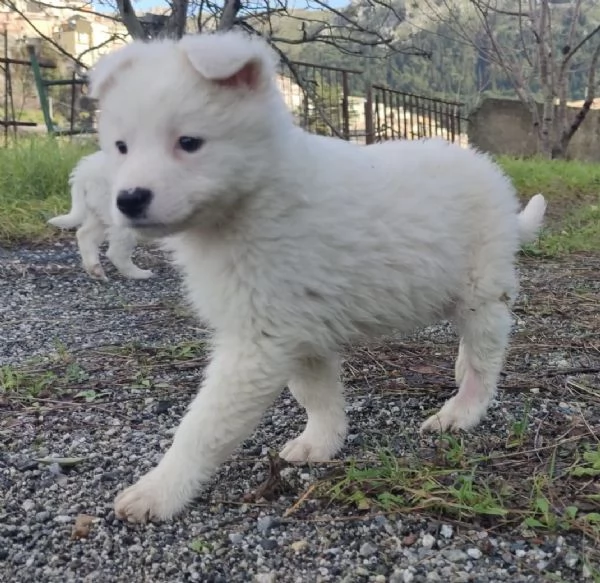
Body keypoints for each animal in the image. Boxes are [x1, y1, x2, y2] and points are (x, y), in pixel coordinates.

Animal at [48, 151, 154, 282]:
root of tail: (84, 170)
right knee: (115, 252)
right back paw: (138, 274)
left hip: (98, 212)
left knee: (84, 234)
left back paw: (95, 270)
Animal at [90, 30, 548, 524]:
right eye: (121, 147)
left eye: (189, 142)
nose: (129, 199)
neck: (253, 200)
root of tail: (489, 170)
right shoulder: (301, 333)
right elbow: (317, 395)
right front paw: (321, 442)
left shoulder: (259, 342)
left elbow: (204, 425)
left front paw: (158, 490)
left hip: (481, 287)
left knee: (487, 355)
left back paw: (461, 410)